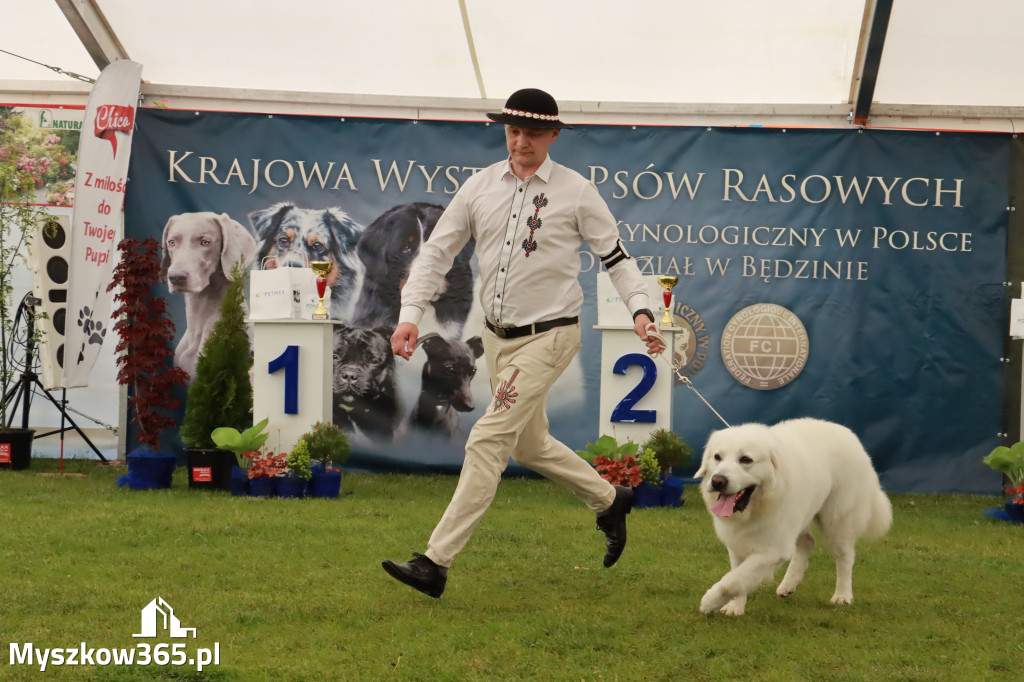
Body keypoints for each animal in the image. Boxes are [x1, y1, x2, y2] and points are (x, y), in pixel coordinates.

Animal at [696, 417, 888, 614]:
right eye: (717, 457)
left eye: (745, 459)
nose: (717, 481)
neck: (759, 504)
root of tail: (851, 437)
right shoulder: (738, 543)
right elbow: (737, 576)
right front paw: (735, 607)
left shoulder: (774, 549)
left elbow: (734, 579)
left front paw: (710, 601)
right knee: (808, 542)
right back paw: (788, 584)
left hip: (837, 523)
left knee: (845, 557)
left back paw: (842, 595)